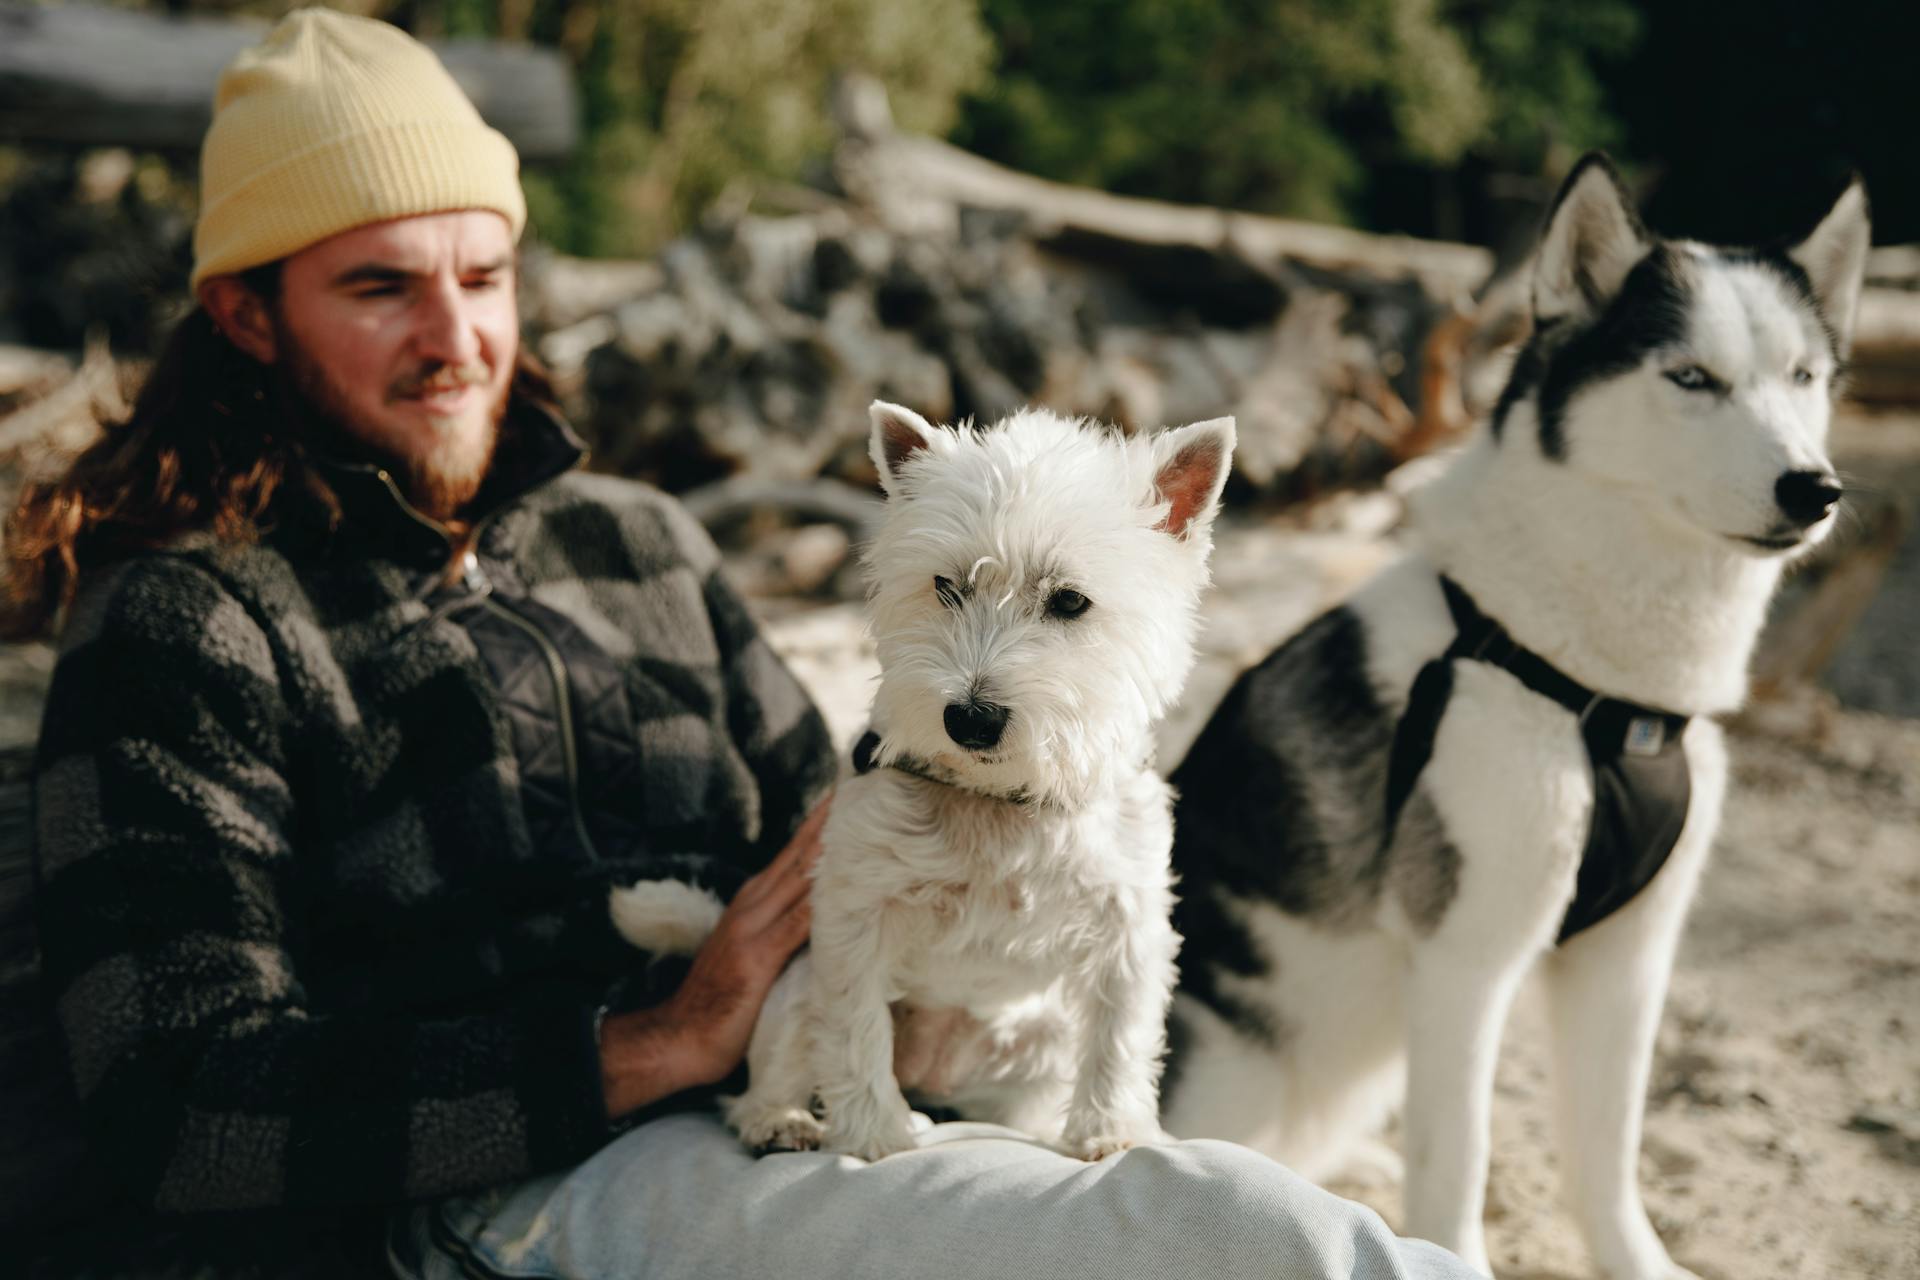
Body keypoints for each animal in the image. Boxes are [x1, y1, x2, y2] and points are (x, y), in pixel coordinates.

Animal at [622, 402, 1236, 1159]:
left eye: (1069, 602)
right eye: (947, 587)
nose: (969, 718)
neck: (997, 801)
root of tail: (938, 1075)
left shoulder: (1128, 918)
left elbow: (1120, 1033)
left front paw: (1111, 1130)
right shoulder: (856, 910)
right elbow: (855, 1028)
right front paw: (875, 1137)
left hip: (1040, 1044)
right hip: (794, 988)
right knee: (768, 1075)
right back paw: (788, 1121)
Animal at [1159, 155, 1866, 1274]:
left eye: (1805, 377)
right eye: (1691, 378)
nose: (1815, 489)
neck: (1604, 693)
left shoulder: (1629, 960)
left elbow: (1609, 1156)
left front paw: (1641, 1262)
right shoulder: (1466, 960)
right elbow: (1459, 1157)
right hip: (1222, 1059)